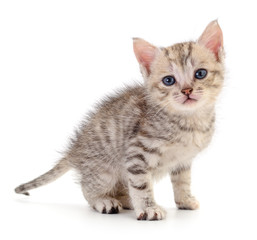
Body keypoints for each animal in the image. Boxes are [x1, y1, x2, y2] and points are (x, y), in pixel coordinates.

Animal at [14, 21, 223, 221]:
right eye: (169, 80)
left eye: (200, 73)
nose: (187, 90)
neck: (190, 120)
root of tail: (75, 150)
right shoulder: (137, 153)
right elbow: (141, 185)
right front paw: (149, 208)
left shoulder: (183, 160)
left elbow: (182, 181)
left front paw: (185, 200)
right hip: (104, 169)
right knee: (87, 188)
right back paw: (104, 200)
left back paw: (126, 200)